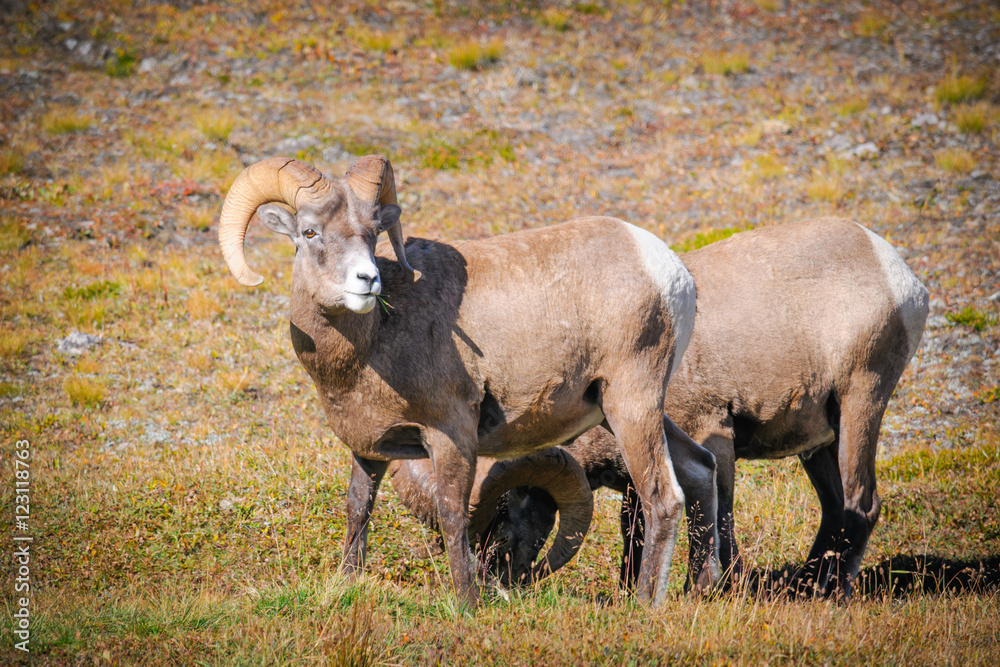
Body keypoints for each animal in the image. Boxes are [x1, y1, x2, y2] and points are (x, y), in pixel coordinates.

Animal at [216, 155, 716, 608]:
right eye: (310, 232)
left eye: (372, 232)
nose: (367, 280)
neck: (373, 342)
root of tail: (672, 274)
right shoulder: (369, 448)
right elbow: (359, 508)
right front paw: (345, 584)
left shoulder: (451, 434)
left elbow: (453, 514)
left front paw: (466, 603)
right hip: (624, 412)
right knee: (700, 468)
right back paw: (701, 590)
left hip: (632, 405)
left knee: (662, 498)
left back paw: (647, 604)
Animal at [491, 218, 929, 598]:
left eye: (502, 518)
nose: (496, 581)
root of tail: (900, 275)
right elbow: (636, 527)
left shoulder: (711, 433)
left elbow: (717, 515)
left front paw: (705, 588)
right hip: (820, 442)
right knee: (835, 507)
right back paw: (805, 587)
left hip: (860, 402)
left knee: (862, 504)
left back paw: (831, 593)